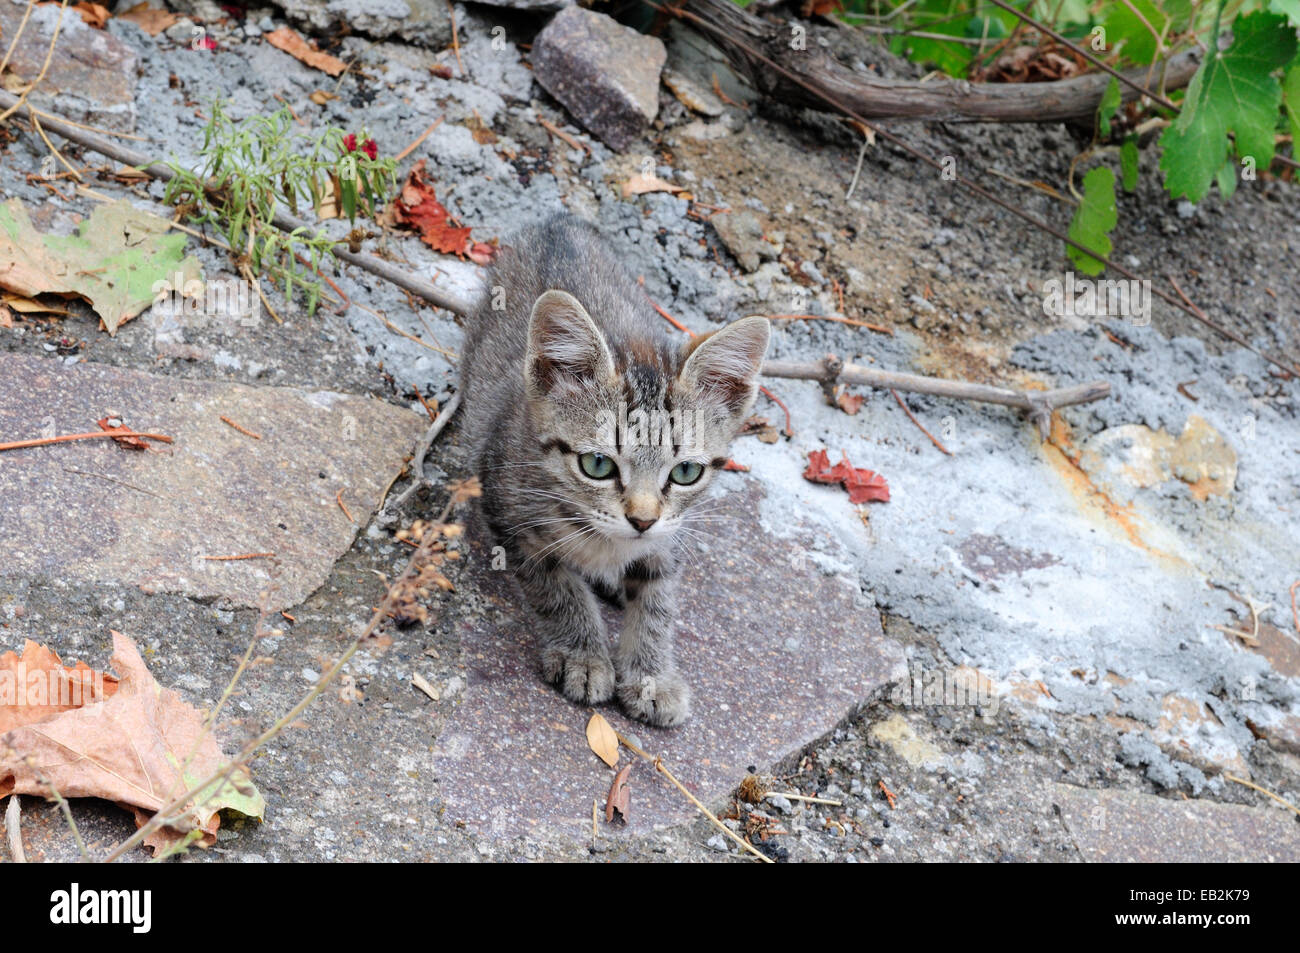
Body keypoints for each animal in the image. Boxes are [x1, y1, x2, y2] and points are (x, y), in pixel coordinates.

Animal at [457, 211, 764, 722]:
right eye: (597, 464)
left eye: (685, 473)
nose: (641, 520)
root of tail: (559, 221)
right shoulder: (508, 511)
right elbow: (556, 587)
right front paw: (582, 654)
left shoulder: (668, 538)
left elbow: (657, 598)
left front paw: (651, 674)